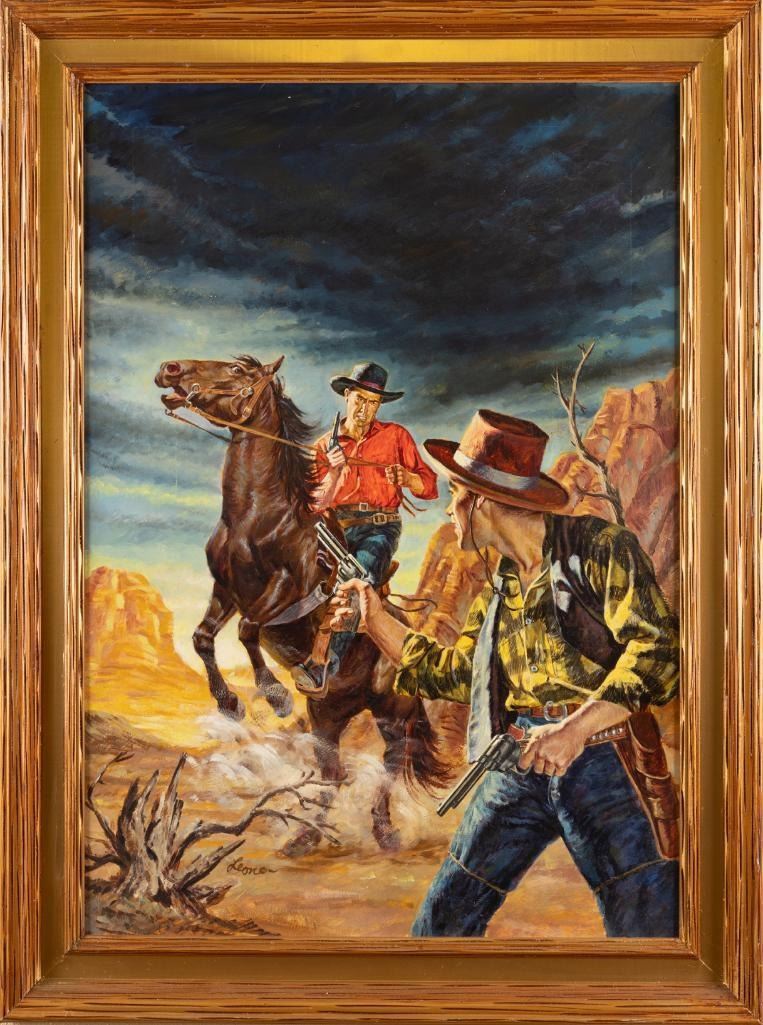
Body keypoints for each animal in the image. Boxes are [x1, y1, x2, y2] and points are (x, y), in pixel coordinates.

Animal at [154, 354, 449, 853]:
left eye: (238, 371)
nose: (170, 369)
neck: (256, 517)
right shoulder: (227, 590)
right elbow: (202, 638)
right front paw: (229, 703)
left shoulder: (287, 591)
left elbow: (248, 631)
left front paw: (274, 695)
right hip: (327, 716)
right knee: (333, 770)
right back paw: (307, 836)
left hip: (392, 712)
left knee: (391, 763)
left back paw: (384, 832)